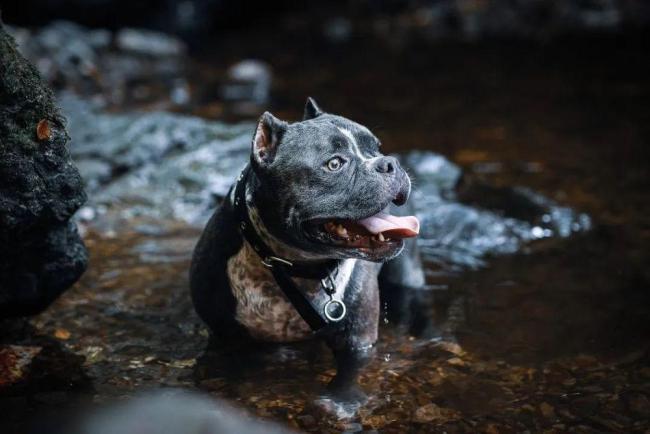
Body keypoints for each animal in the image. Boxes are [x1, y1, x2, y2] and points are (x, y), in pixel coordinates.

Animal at [190, 98, 422, 396]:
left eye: (377, 148)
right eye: (334, 164)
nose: (389, 161)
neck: (296, 265)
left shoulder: (357, 341)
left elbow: (349, 375)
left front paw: (340, 400)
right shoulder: (224, 337)